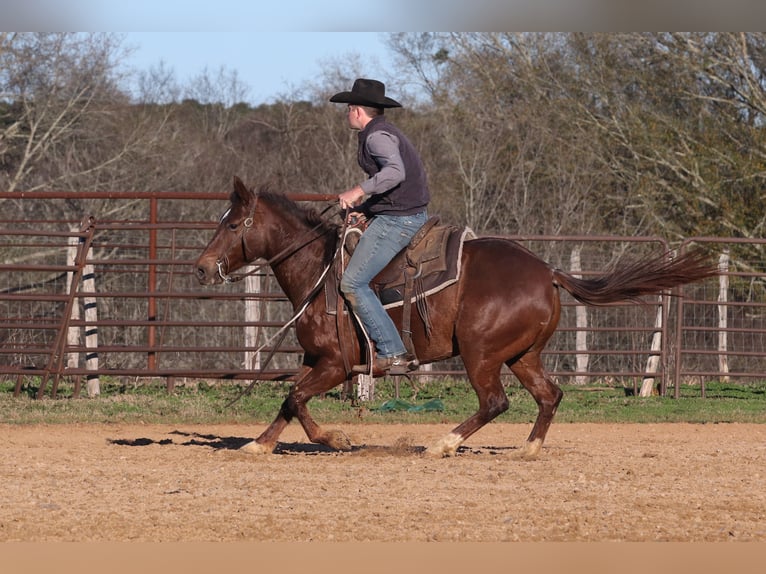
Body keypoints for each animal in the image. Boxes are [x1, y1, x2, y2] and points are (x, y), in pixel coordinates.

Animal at [194, 178, 720, 462]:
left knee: (495, 402)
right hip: (522, 355)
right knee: (549, 396)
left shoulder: (336, 366)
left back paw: (442, 444)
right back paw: (528, 450)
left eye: (233, 224)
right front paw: (260, 445)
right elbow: (289, 400)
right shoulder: (316, 359)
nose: (201, 267)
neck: (320, 270)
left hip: (480, 353)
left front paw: (335, 438)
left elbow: (297, 397)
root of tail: (547, 271)